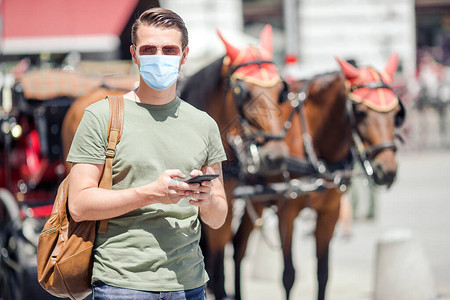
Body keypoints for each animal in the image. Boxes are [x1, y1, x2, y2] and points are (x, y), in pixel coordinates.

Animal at [230, 54, 406, 300]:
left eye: (396, 113)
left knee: (238, 246)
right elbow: (288, 275)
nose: (387, 170)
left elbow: (323, 273)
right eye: (361, 113)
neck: (313, 142)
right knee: (238, 247)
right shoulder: (287, 212)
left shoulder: (330, 212)